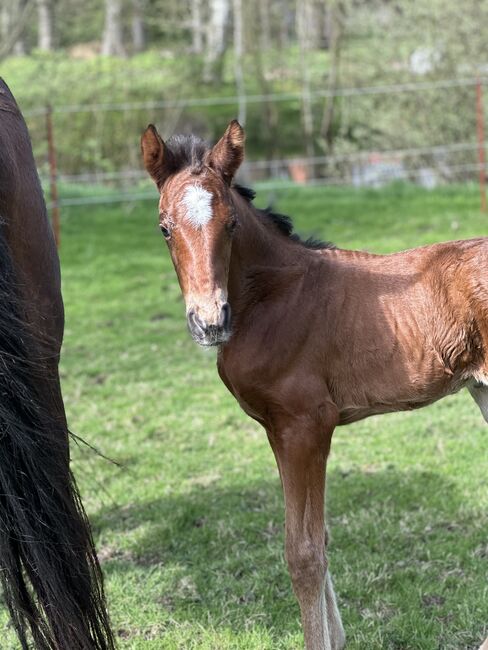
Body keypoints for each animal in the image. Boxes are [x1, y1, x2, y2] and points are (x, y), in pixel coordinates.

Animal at [142, 119, 488, 644]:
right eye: (164, 228)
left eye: (232, 224)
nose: (210, 321)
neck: (269, 296)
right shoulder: (278, 429)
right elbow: (317, 538)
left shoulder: (307, 426)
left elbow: (304, 553)